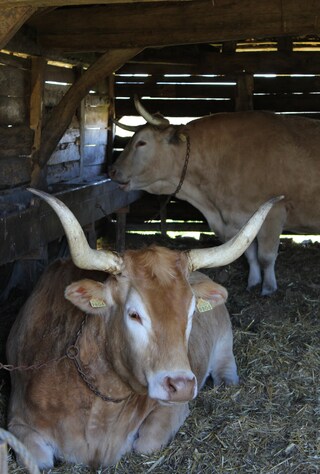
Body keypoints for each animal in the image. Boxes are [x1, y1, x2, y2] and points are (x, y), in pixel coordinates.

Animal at [6, 190, 278, 470]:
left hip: (224, 341)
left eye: (191, 313)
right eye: (134, 314)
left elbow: (146, 443)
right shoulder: (17, 421)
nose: (181, 386)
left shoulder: (171, 408)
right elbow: (39, 460)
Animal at [108, 97, 320, 296]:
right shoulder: (239, 220)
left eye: (142, 142)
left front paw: (268, 289)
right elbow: (249, 254)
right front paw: (253, 282)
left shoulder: (274, 212)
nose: (112, 170)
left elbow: (266, 257)